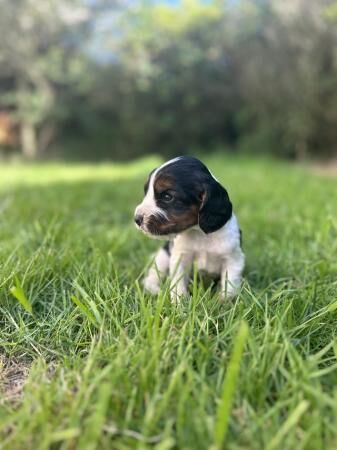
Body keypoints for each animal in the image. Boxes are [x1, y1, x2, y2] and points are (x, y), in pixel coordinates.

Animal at [135, 156, 244, 300]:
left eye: (167, 197)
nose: (136, 219)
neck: (199, 233)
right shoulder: (180, 258)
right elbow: (178, 284)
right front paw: (179, 303)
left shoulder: (233, 259)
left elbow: (229, 285)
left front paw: (224, 302)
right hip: (162, 257)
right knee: (151, 276)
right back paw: (155, 290)